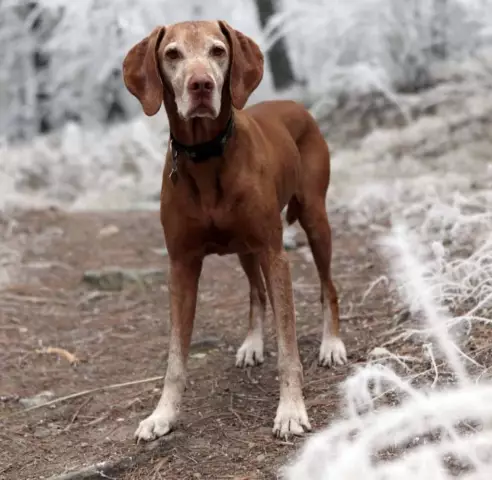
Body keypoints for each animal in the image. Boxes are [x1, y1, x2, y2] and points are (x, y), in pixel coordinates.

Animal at [122, 22, 346, 442]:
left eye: (218, 51)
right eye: (172, 54)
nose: (201, 85)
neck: (206, 156)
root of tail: (295, 104)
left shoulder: (275, 255)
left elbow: (288, 347)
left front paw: (290, 410)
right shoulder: (181, 265)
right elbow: (175, 357)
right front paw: (163, 414)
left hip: (314, 219)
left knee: (329, 287)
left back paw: (332, 344)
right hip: (245, 249)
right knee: (257, 293)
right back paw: (253, 343)